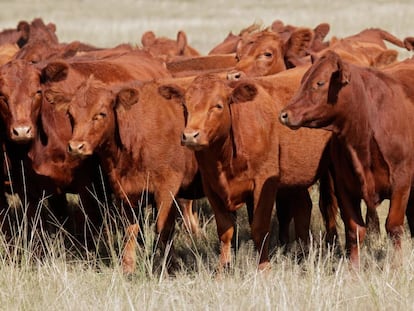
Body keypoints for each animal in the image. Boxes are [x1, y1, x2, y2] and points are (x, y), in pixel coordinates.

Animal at [158, 72, 334, 272]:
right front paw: (222, 269)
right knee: (303, 208)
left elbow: (259, 228)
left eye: (218, 106)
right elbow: (225, 230)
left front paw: (264, 269)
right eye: (185, 106)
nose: (190, 136)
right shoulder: (211, 187)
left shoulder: (264, 182)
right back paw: (303, 253)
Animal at [280, 50, 414, 268]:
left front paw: (396, 266)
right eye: (302, 80)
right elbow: (355, 231)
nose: (284, 114)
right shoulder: (344, 187)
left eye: (319, 83)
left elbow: (393, 227)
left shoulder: (401, 183)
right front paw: (353, 269)